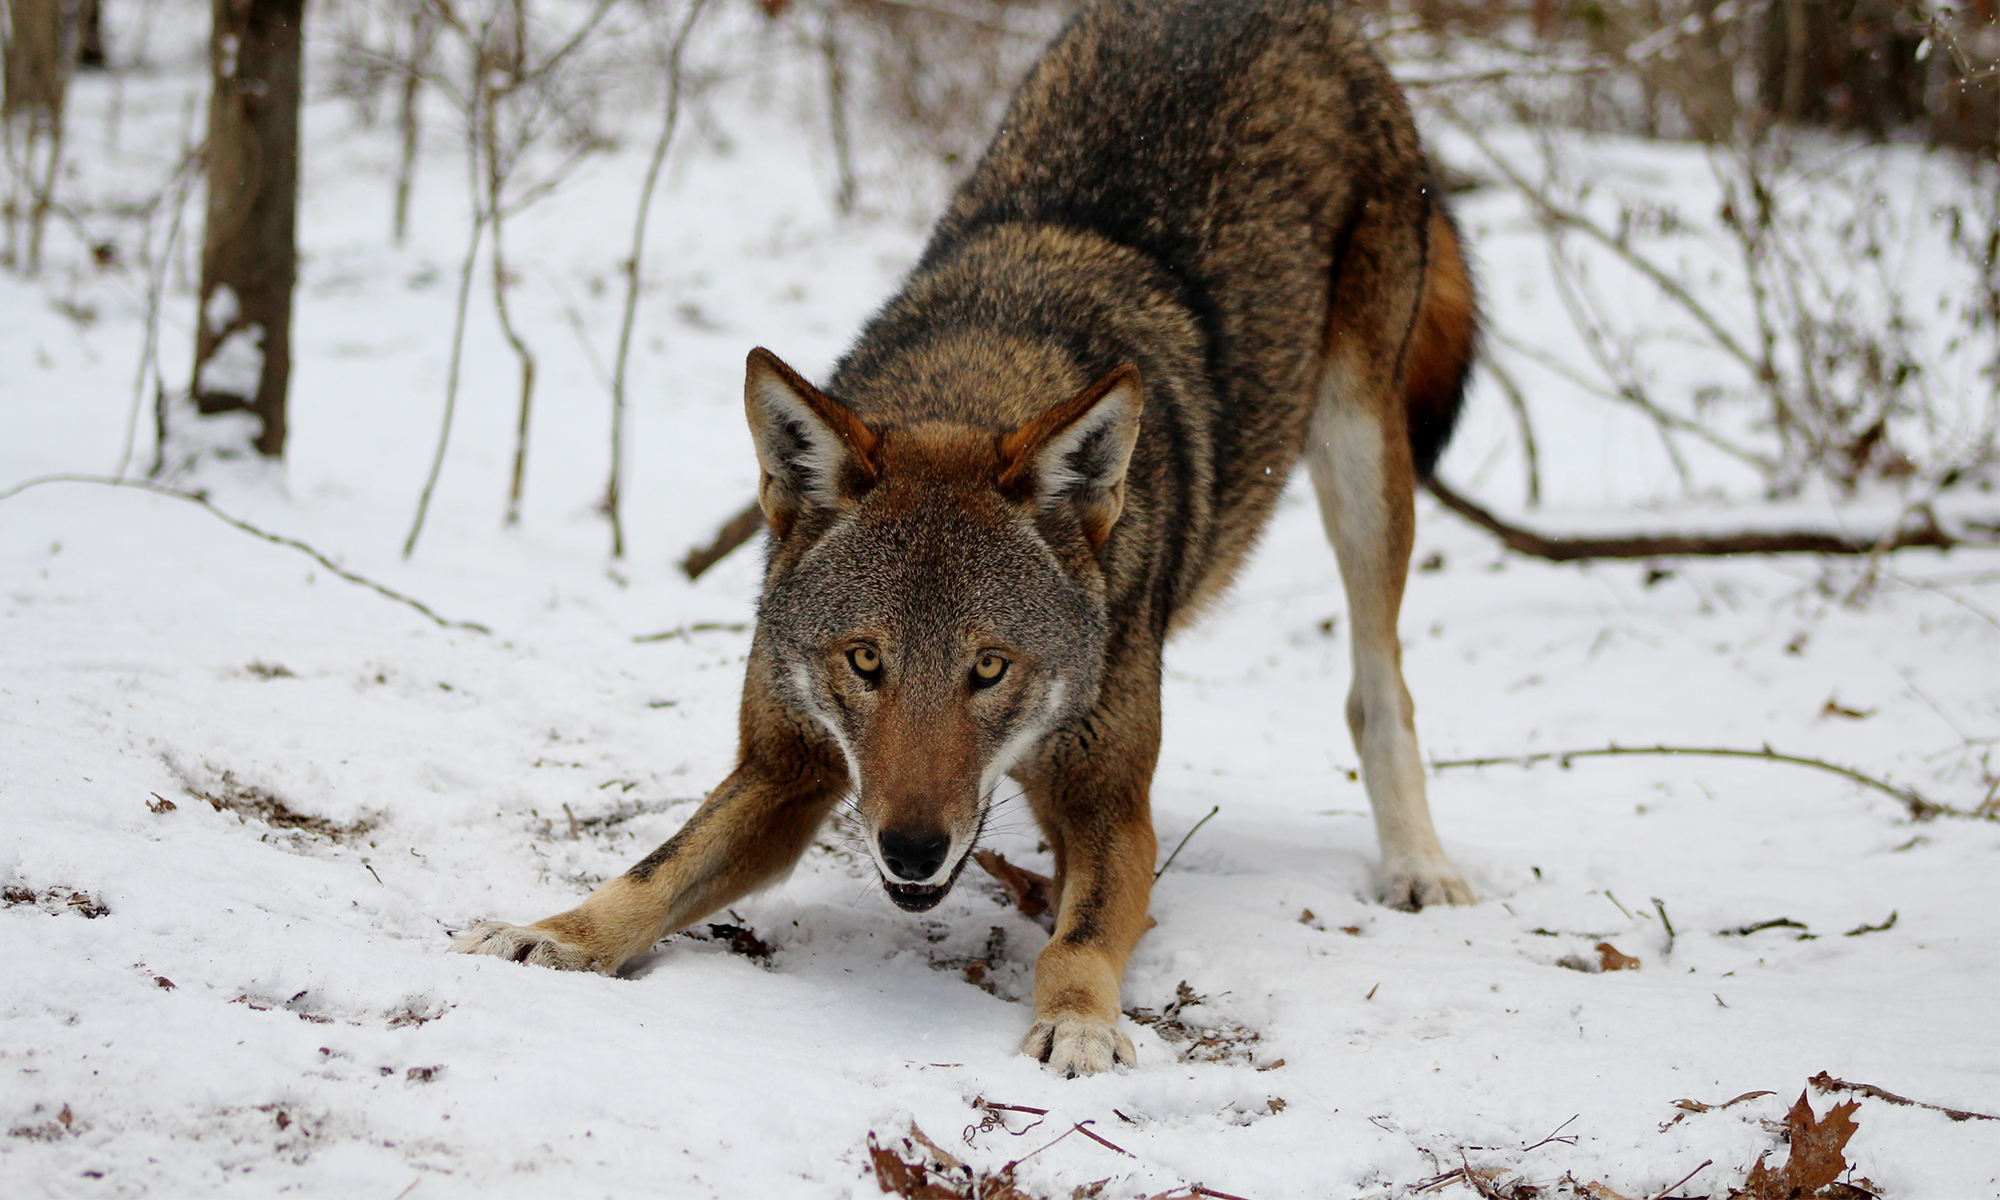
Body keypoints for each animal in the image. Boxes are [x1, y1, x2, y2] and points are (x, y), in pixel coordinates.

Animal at [458, 0, 1488, 1080]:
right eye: (865, 661)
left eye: (988, 668)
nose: (911, 850)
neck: (977, 382)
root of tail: (1304, 16)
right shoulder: (783, 767)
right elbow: (652, 872)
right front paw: (554, 935)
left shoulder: (1112, 804)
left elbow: (1083, 935)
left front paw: (1079, 1022)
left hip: (1361, 454)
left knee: (1378, 686)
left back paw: (1419, 866)